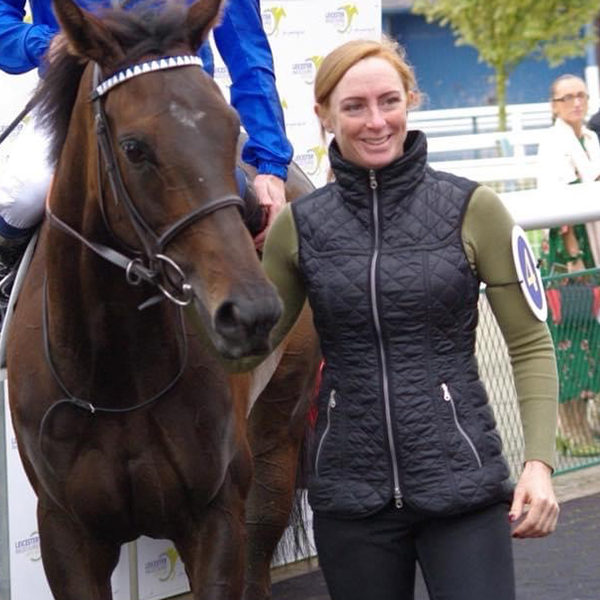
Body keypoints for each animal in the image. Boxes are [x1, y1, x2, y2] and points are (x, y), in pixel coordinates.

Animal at [5, 0, 320, 598]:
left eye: (230, 127)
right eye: (134, 148)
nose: (251, 313)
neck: (112, 374)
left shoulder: (215, 515)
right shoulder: (64, 530)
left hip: (279, 429)